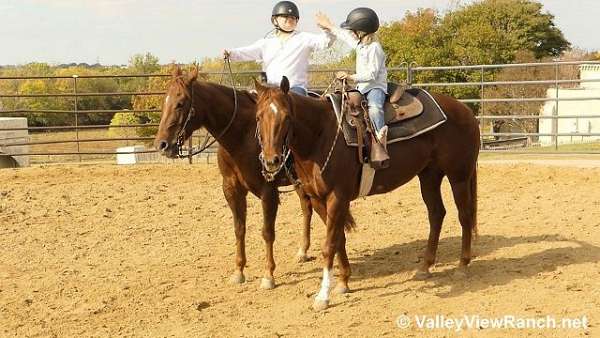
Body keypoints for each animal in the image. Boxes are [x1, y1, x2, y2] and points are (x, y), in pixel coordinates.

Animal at [154, 67, 318, 290]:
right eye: (165, 101)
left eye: (180, 103)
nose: (161, 144)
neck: (242, 136)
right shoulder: (231, 189)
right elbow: (239, 229)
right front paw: (239, 271)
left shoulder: (268, 191)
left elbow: (267, 232)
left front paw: (268, 276)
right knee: (306, 208)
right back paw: (303, 251)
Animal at [255, 77, 480, 312]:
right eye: (258, 116)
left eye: (287, 117)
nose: (271, 160)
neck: (320, 136)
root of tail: (465, 110)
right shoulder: (317, 199)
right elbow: (339, 239)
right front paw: (344, 281)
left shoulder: (338, 197)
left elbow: (329, 245)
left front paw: (323, 296)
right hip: (429, 176)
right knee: (436, 214)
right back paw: (425, 266)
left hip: (458, 177)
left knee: (464, 216)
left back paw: (462, 265)